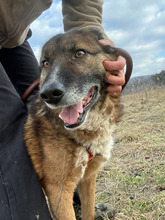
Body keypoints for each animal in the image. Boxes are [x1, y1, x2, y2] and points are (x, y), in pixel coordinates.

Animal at [24, 29, 130, 220]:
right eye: (46, 63)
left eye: (79, 53)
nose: (49, 94)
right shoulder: (58, 190)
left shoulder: (88, 177)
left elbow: (89, 211)